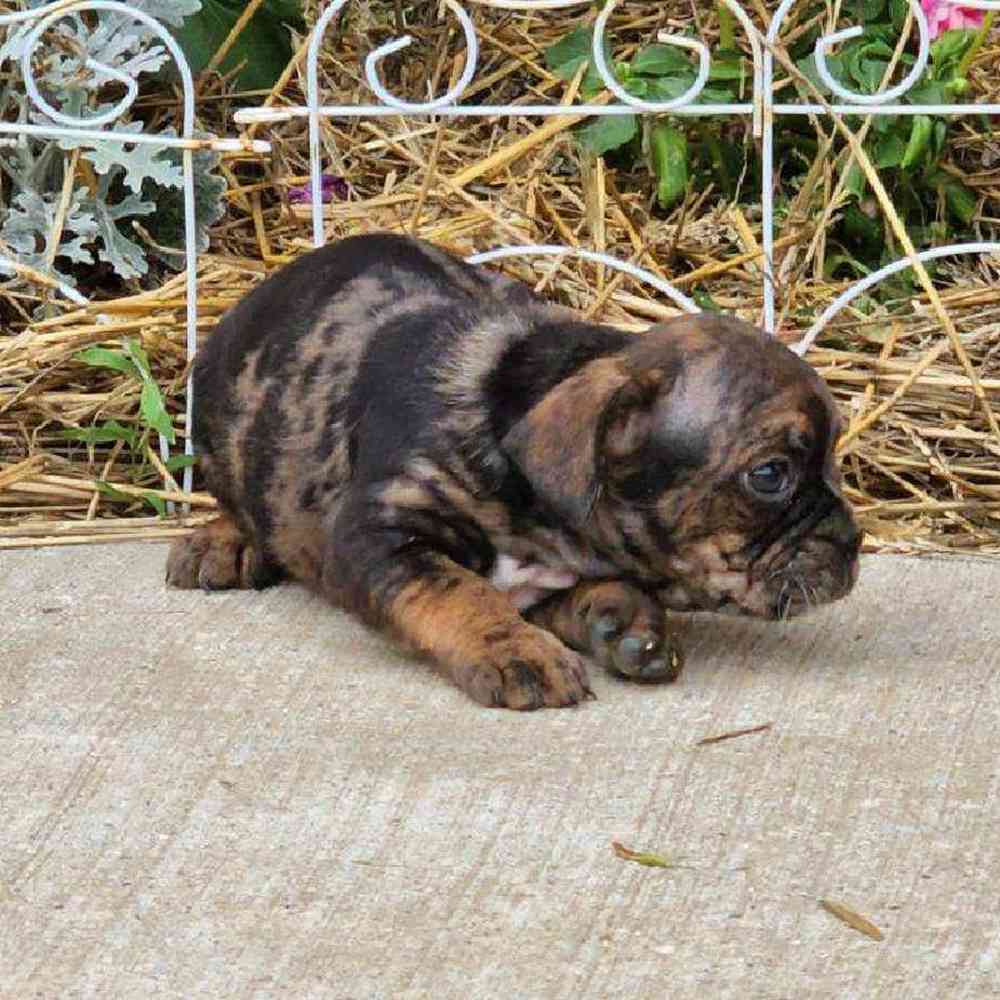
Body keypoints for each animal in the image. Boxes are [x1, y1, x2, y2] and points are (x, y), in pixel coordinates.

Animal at [168, 232, 864, 712]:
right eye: (769, 475)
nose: (854, 544)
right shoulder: (381, 534)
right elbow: (457, 590)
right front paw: (516, 651)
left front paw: (621, 620)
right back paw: (223, 541)